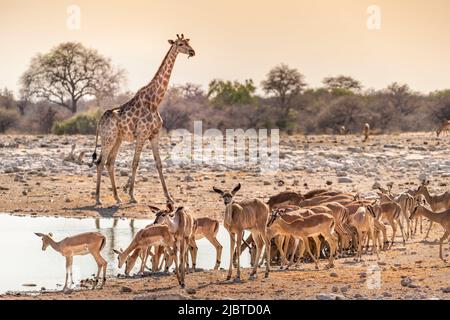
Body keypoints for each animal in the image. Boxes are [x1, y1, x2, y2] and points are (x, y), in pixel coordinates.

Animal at [90, 33, 195, 206]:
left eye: (188, 42)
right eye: (180, 44)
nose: (192, 52)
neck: (154, 101)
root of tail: (99, 122)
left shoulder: (154, 135)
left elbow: (159, 164)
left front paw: (169, 197)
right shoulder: (141, 135)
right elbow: (135, 163)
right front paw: (132, 195)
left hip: (118, 139)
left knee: (110, 162)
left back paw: (117, 197)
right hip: (108, 138)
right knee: (100, 162)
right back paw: (98, 199)